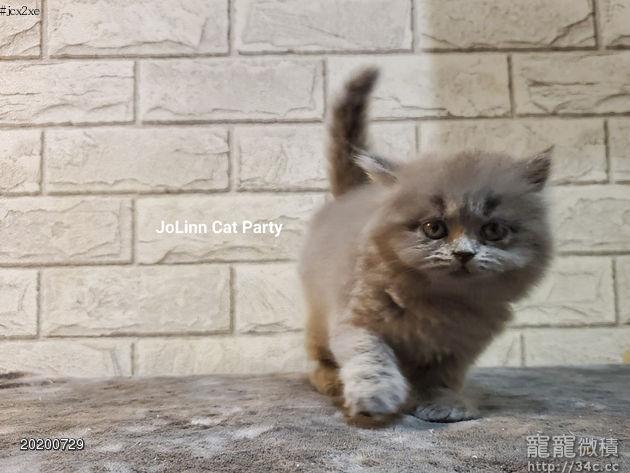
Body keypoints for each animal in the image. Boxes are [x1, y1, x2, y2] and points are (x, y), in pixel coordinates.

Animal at [299, 67, 552, 425]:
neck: (440, 304)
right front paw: (376, 396)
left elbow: (443, 376)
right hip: (318, 315)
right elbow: (370, 356)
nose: (464, 253)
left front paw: (444, 403)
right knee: (318, 360)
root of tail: (352, 195)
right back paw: (332, 382)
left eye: (492, 230)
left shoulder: (459, 347)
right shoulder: (356, 318)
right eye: (434, 228)